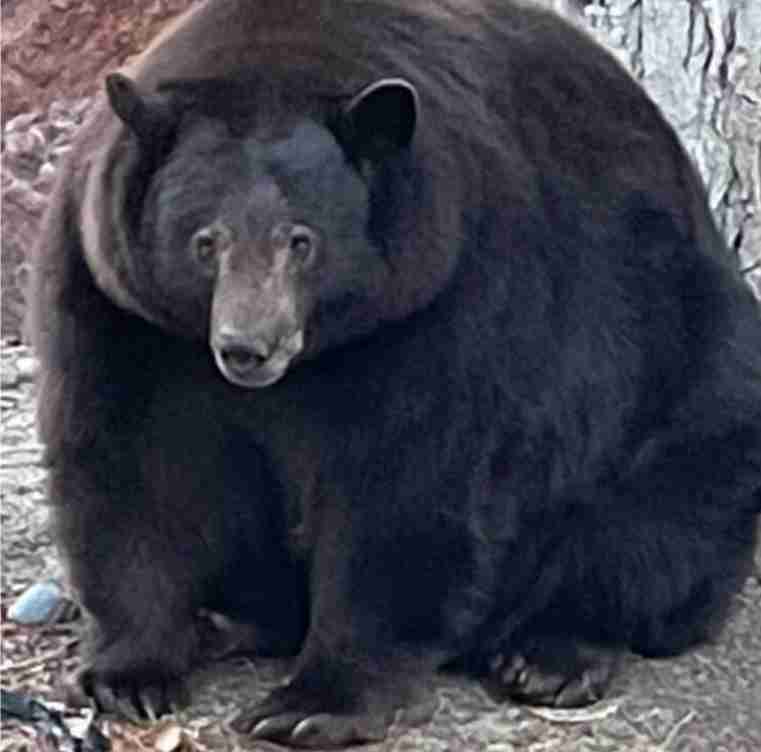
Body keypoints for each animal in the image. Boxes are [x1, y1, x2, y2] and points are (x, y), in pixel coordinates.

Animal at [30, 0, 761, 747]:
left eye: (302, 240)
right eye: (206, 241)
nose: (247, 348)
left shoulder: (449, 293)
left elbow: (408, 483)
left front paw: (312, 703)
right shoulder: (120, 304)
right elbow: (133, 461)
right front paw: (131, 673)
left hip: (688, 374)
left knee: (656, 522)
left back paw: (550, 654)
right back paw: (230, 620)